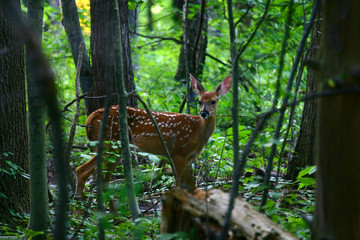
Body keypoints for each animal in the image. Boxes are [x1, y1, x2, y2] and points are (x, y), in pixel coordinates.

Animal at [76, 74, 232, 196]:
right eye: (199, 101)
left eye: (213, 101)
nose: (204, 113)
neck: (197, 131)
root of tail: (91, 117)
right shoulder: (178, 154)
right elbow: (180, 185)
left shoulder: (190, 158)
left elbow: (191, 186)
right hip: (112, 143)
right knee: (90, 174)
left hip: (112, 147)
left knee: (92, 175)